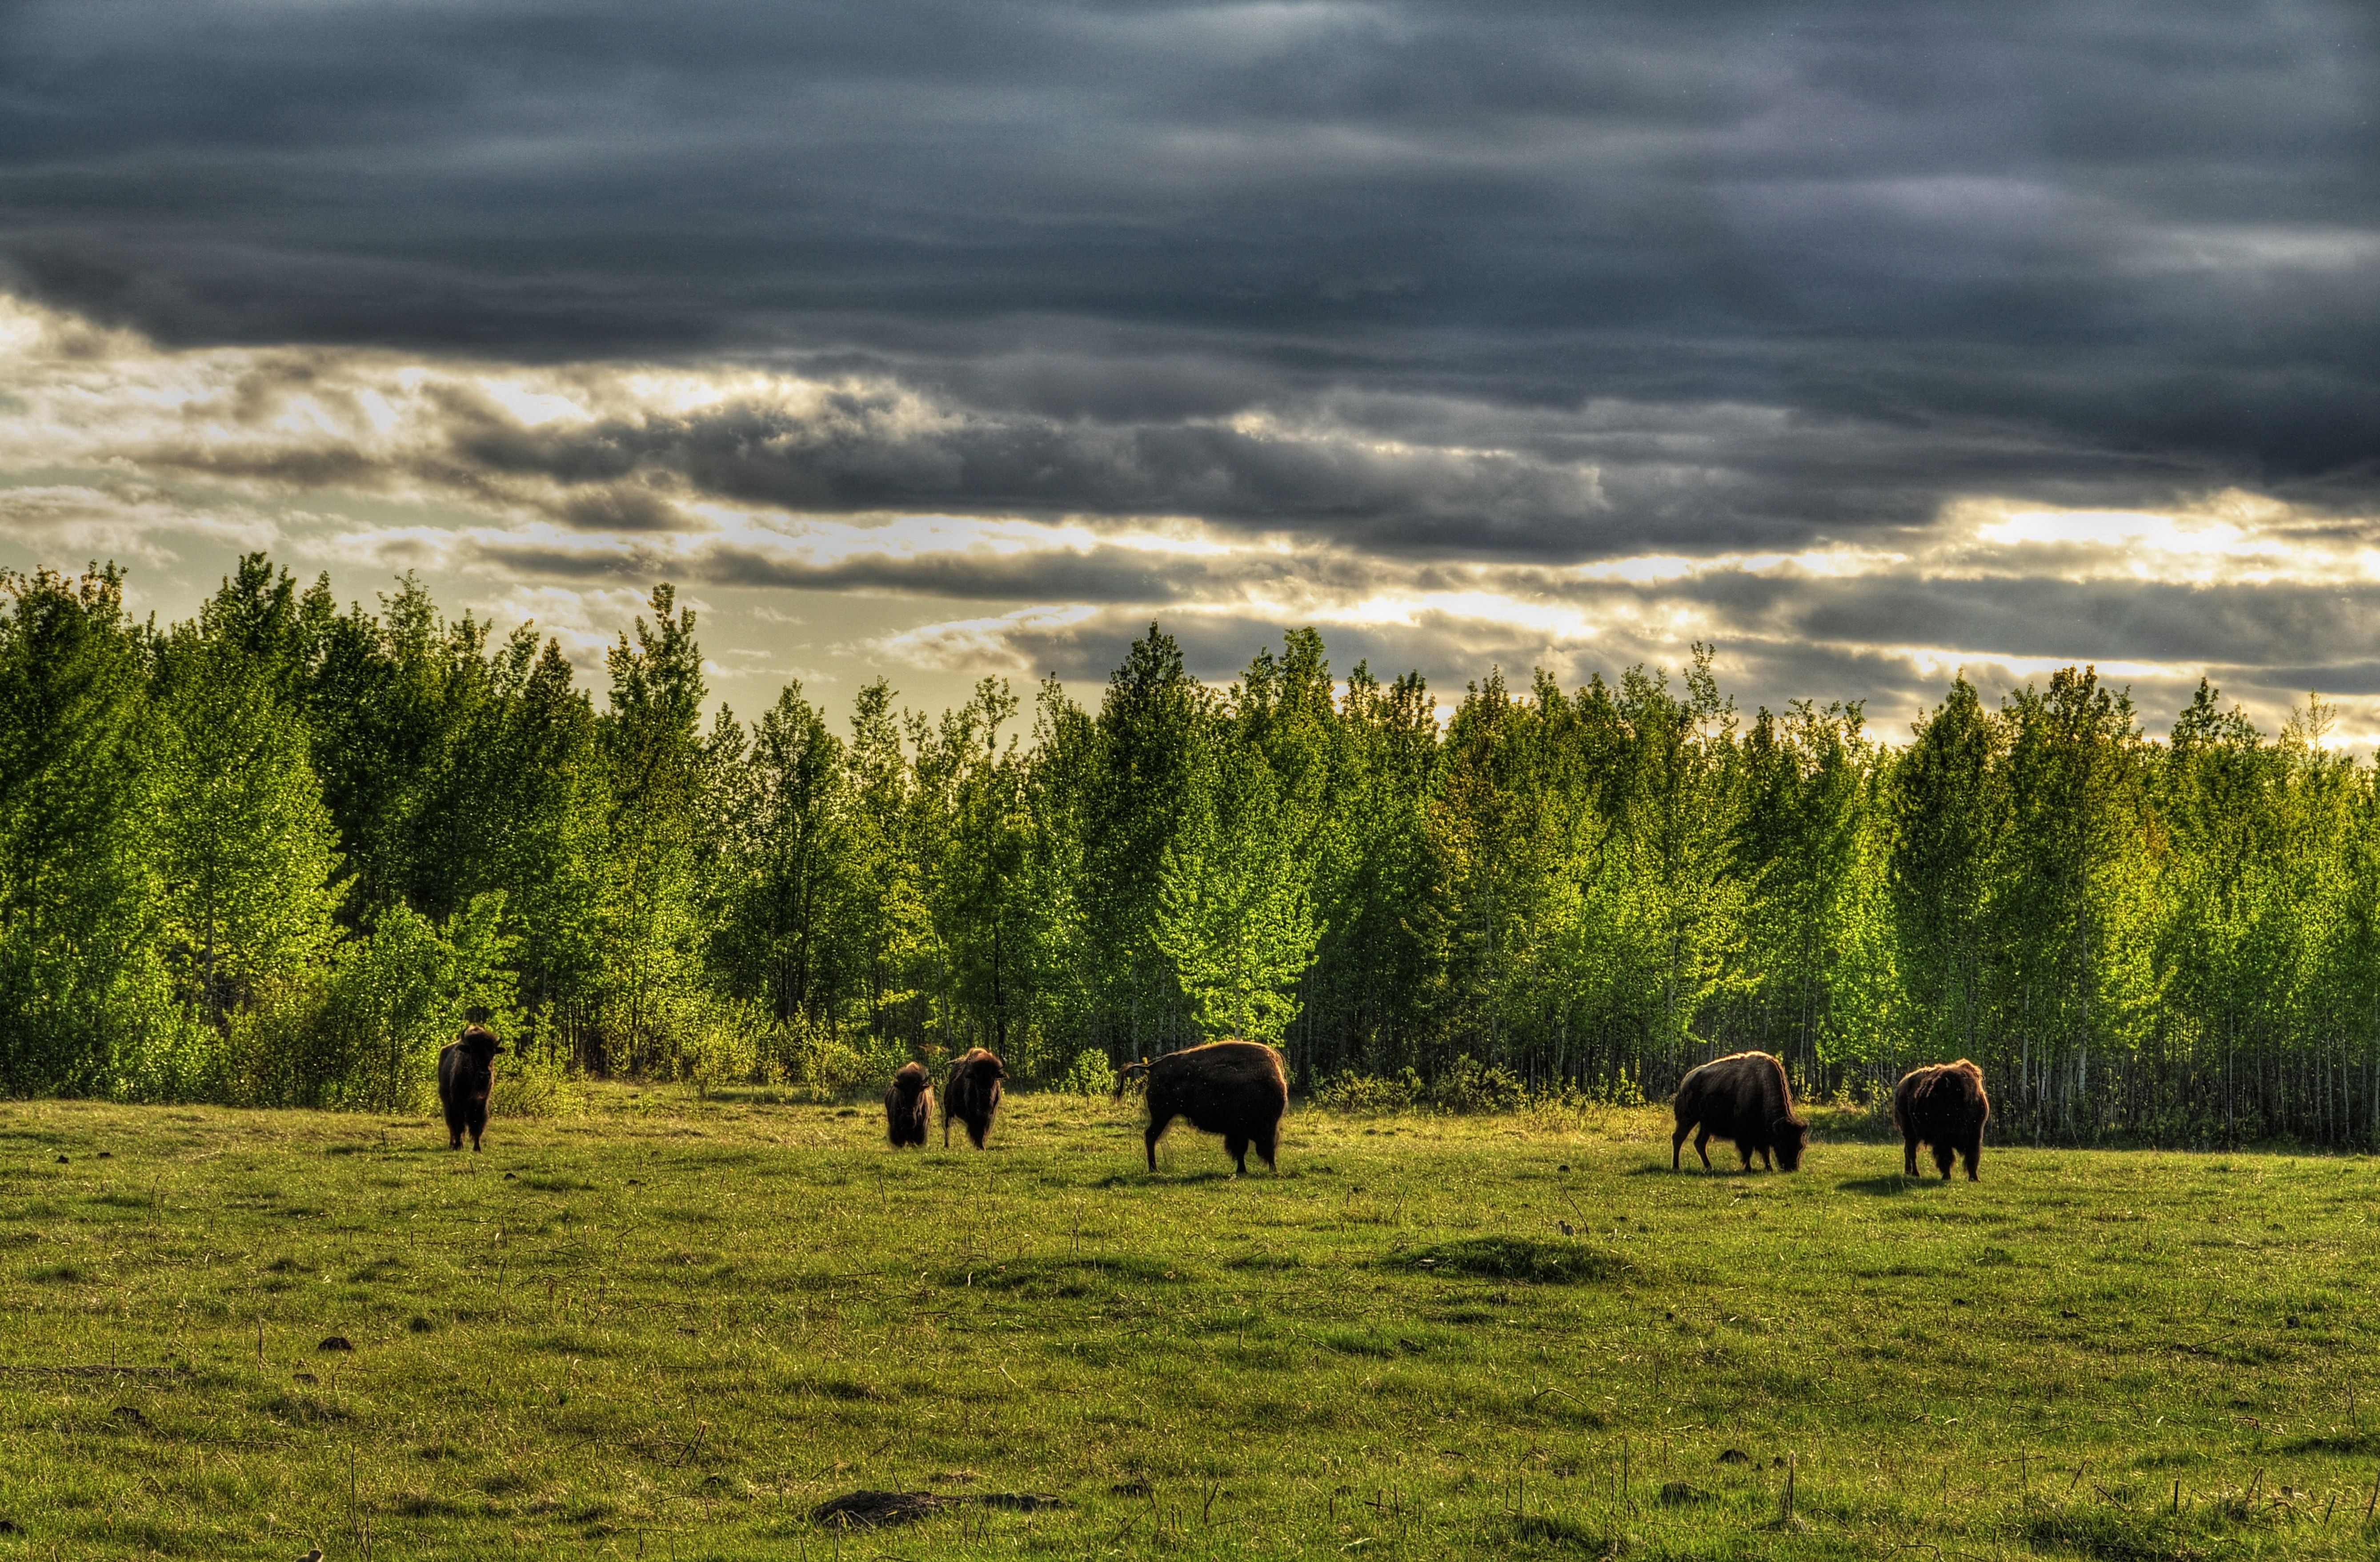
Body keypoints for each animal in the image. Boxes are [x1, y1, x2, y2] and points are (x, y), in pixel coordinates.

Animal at [438, 1010, 501, 1152]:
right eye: (473, 1053)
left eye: (493, 1053)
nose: (485, 1075)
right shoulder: (458, 1101)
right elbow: (459, 1124)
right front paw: (458, 1145)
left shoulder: (481, 1102)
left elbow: (477, 1124)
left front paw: (477, 1148)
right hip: (446, 1101)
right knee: (451, 1123)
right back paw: (453, 1144)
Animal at [943, 1048, 1006, 1149]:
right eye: (977, 1078)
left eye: (993, 1077)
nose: (985, 1094)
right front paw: (979, 1145)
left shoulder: (989, 1113)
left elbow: (984, 1129)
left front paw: (982, 1146)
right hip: (949, 1110)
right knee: (947, 1126)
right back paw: (947, 1145)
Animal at [1116, 1039, 1288, 1174]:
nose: (1273, 1168)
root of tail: (1152, 1066)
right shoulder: (1250, 1129)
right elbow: (1242, 1149)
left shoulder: (1240, 1131)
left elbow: (1241, 1150)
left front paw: (1242, 1171)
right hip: (1162, 1115)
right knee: (1151, 1135)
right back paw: (1154, 1169)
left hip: (1162, 1115)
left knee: (1150, 1135)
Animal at [1671, 1050, 1807, 1172]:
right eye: (1782, 1143)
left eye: (1801, 1146)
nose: (1792, 1168)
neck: (1761, 1085)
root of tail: (1685, 1082)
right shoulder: (1745, 1133)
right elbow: (1748, 1151)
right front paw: (1749, 1168)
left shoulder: (1762, 1134)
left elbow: (1765, 1151)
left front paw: (1769, 1168)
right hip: (1688, 1118)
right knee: (1678, 1138)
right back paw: (1676, 1167)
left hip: (1706, 1125)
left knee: (1700, 1143)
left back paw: (1709, 1167)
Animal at [1893, 1059, 1989, 1181]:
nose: (1925, 1102)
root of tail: (1901, 1086)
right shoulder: (1943, 1138)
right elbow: (1946, 1157)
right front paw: (1947, 1177)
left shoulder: (1975, 1135)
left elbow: (1972, 1157)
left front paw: (1975, 1179)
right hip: (1910, 1131)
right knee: (1911, 1152)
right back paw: (1916, 1173)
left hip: (1915, 1135)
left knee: (1908, 1151)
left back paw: (1908, 1172)